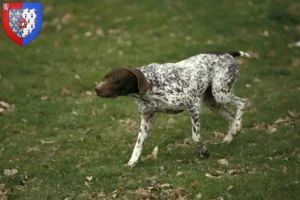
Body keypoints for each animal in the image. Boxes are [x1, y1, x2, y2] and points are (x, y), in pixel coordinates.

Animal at [95, 51, 250, 166]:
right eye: (105, 77)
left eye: (115, 79)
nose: (96, 89)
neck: (152, 84)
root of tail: (227, 54)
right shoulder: (146, 119)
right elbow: (138, 144)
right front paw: (131, 163)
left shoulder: (193, 106)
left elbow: (196, 137)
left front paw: (204, 153)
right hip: (212, 101)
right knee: (231, 116)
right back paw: (230, 136)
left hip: (220, 93)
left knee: (241, 102)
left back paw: (236, 127)